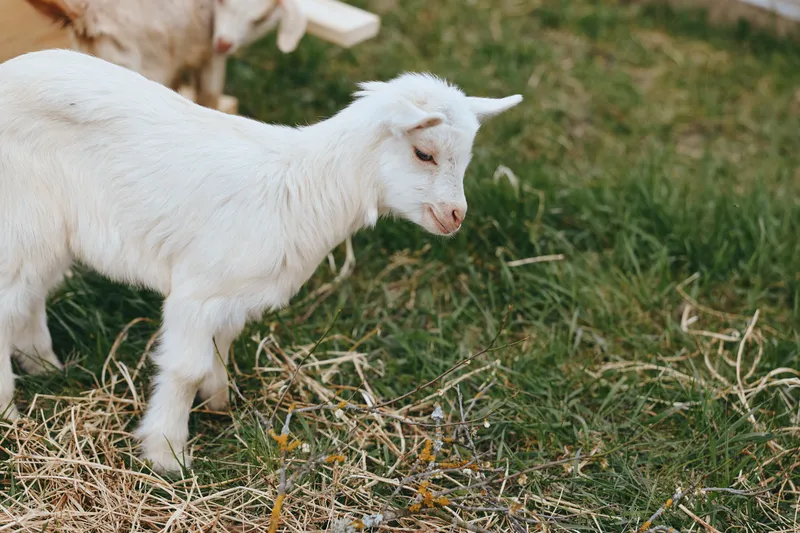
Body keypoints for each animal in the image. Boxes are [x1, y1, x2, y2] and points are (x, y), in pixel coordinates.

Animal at [0, 49, 522, 473]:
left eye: (466, 158)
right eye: (423, 153)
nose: (455, 216)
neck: (304, 188)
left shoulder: (233, 296)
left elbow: (222, 346)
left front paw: (218, 401)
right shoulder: (197, 289)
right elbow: (185, 368)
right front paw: (167, 454)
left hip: (48, 232)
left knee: (30, 294)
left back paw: (44, 365)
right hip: (24, 219)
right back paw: (10, 410)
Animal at [25, 0, 307, 109]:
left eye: (261, 17)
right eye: (223, 3)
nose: (224, 43)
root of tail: (87, 13)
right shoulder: (209, 56)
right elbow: (209, 96)